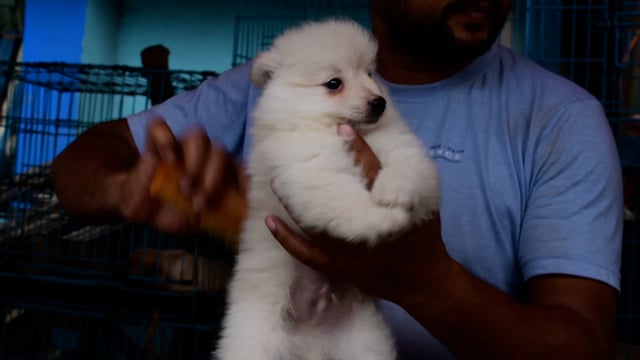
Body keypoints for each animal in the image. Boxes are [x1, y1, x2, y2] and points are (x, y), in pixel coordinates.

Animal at [215, 18, 440, 360]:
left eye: (370, 74)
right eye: (334, 83)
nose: (380, 102)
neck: (329, 129)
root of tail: (312, 344)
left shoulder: (395, 143)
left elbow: (410, 165)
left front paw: (395, 190)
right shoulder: (308, 170)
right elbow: (345, 198)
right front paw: (384, 219)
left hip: (364, 343)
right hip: (258, 338)